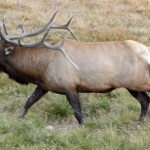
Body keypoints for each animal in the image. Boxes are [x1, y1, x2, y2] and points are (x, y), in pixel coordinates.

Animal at [0, 11, 150, 125]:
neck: (38, 69)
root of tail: (146, 51)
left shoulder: (69, 86)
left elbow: (78, 114)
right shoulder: (44, 85)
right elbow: (28, 103)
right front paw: (19, 120)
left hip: (136, 83)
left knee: (145, 100)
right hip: (133, 86)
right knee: (145, 101)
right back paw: (139, 123)